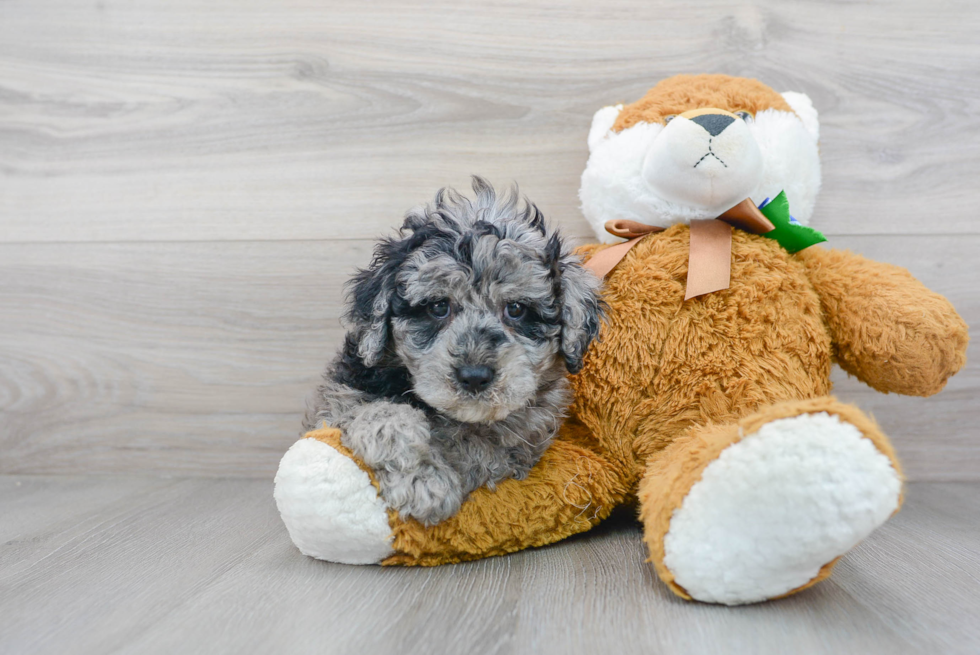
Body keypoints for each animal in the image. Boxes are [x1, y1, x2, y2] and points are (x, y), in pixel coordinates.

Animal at [302, 177, 600, 524]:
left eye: (515, 309)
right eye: (438, 307)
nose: (474, 376)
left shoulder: (523, 438)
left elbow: (482, 451)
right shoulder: (340, 398)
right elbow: (380, 415)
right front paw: (423, 481)